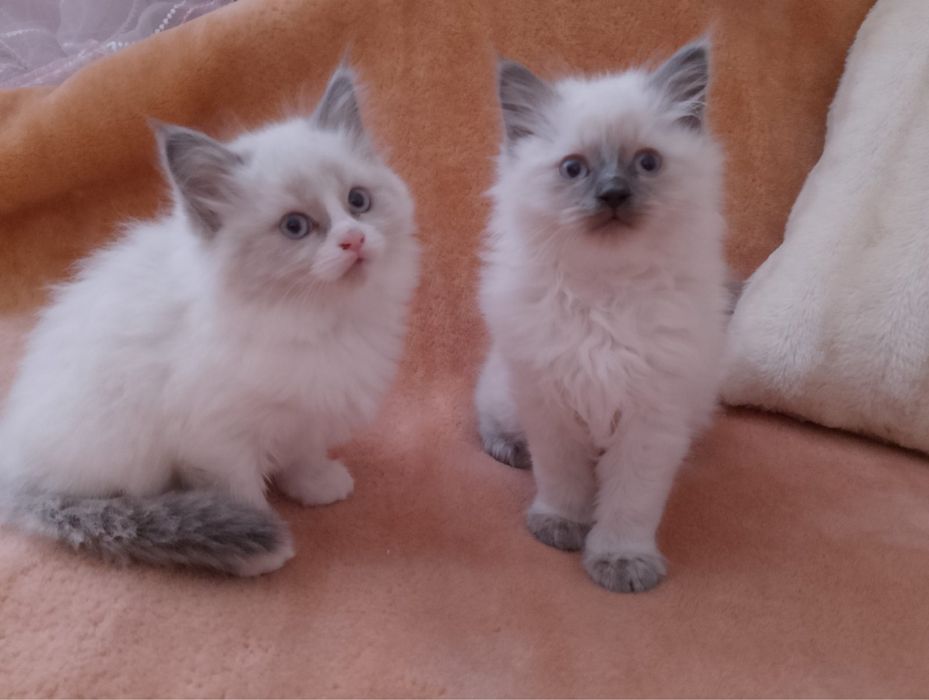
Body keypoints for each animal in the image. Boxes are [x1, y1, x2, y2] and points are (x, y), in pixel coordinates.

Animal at [0, 65, 419, 576]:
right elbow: (241, 490)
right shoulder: (216, 439)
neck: (313, 319)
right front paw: (262, 544)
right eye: (295, 226)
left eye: (358, 201)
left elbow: (302, 454)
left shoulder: (306, 410)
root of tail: (12, 475)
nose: (354, 239)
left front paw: (316, 484)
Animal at [475, 40, 728, 592]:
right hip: (506, 394)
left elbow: (630, 504)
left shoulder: (651, 420)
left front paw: (621, 561)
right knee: (490, 421)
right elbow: (563, 480)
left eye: (647, 163)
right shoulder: (551, 405)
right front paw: (560, 526)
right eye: (574, 169)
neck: (605, 299)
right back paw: (509, 450)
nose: (613, 194)